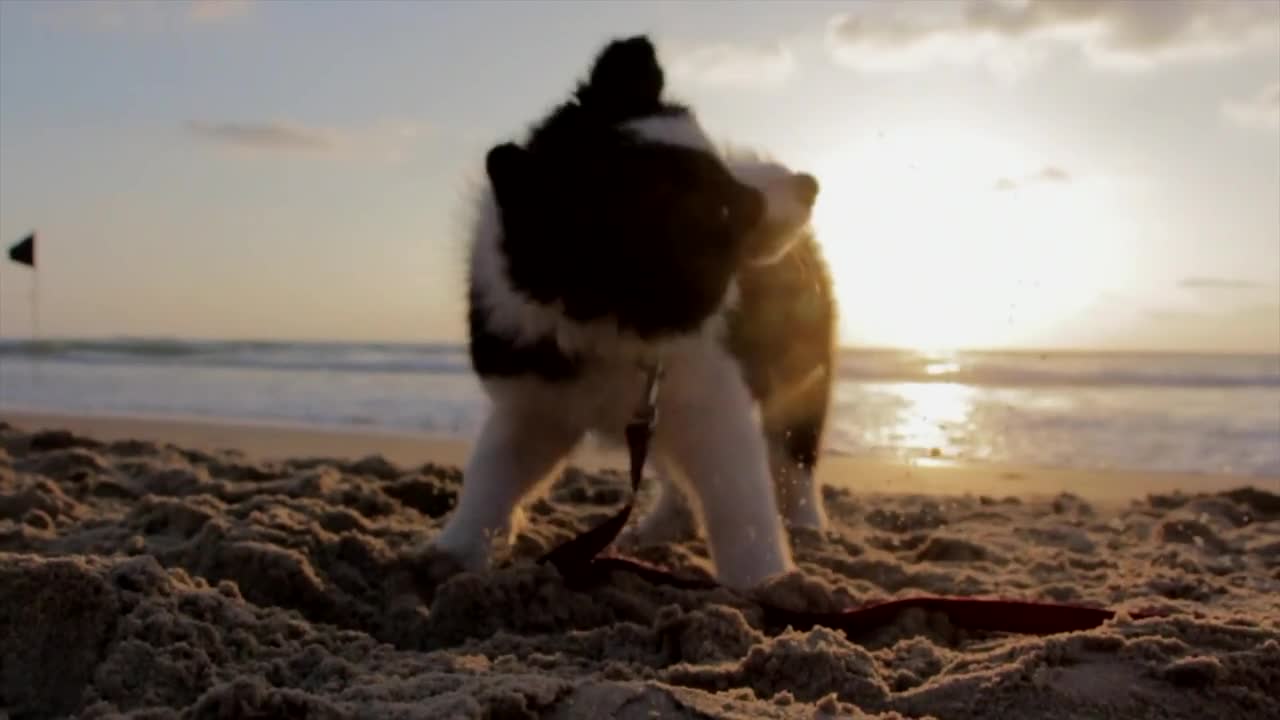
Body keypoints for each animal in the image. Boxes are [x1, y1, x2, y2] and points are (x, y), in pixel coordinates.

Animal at [430, 35, 839, 589]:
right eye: (723, 213)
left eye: (723, 170)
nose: (808, 185)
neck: (615, 323)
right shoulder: (536, 404)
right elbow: (492, 474)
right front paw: (454, 552)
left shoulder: (713, 400)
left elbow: (742, 504)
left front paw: (767, 582)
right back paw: (667, 522)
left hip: (798, 373)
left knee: (794, 459)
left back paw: (807, 524)